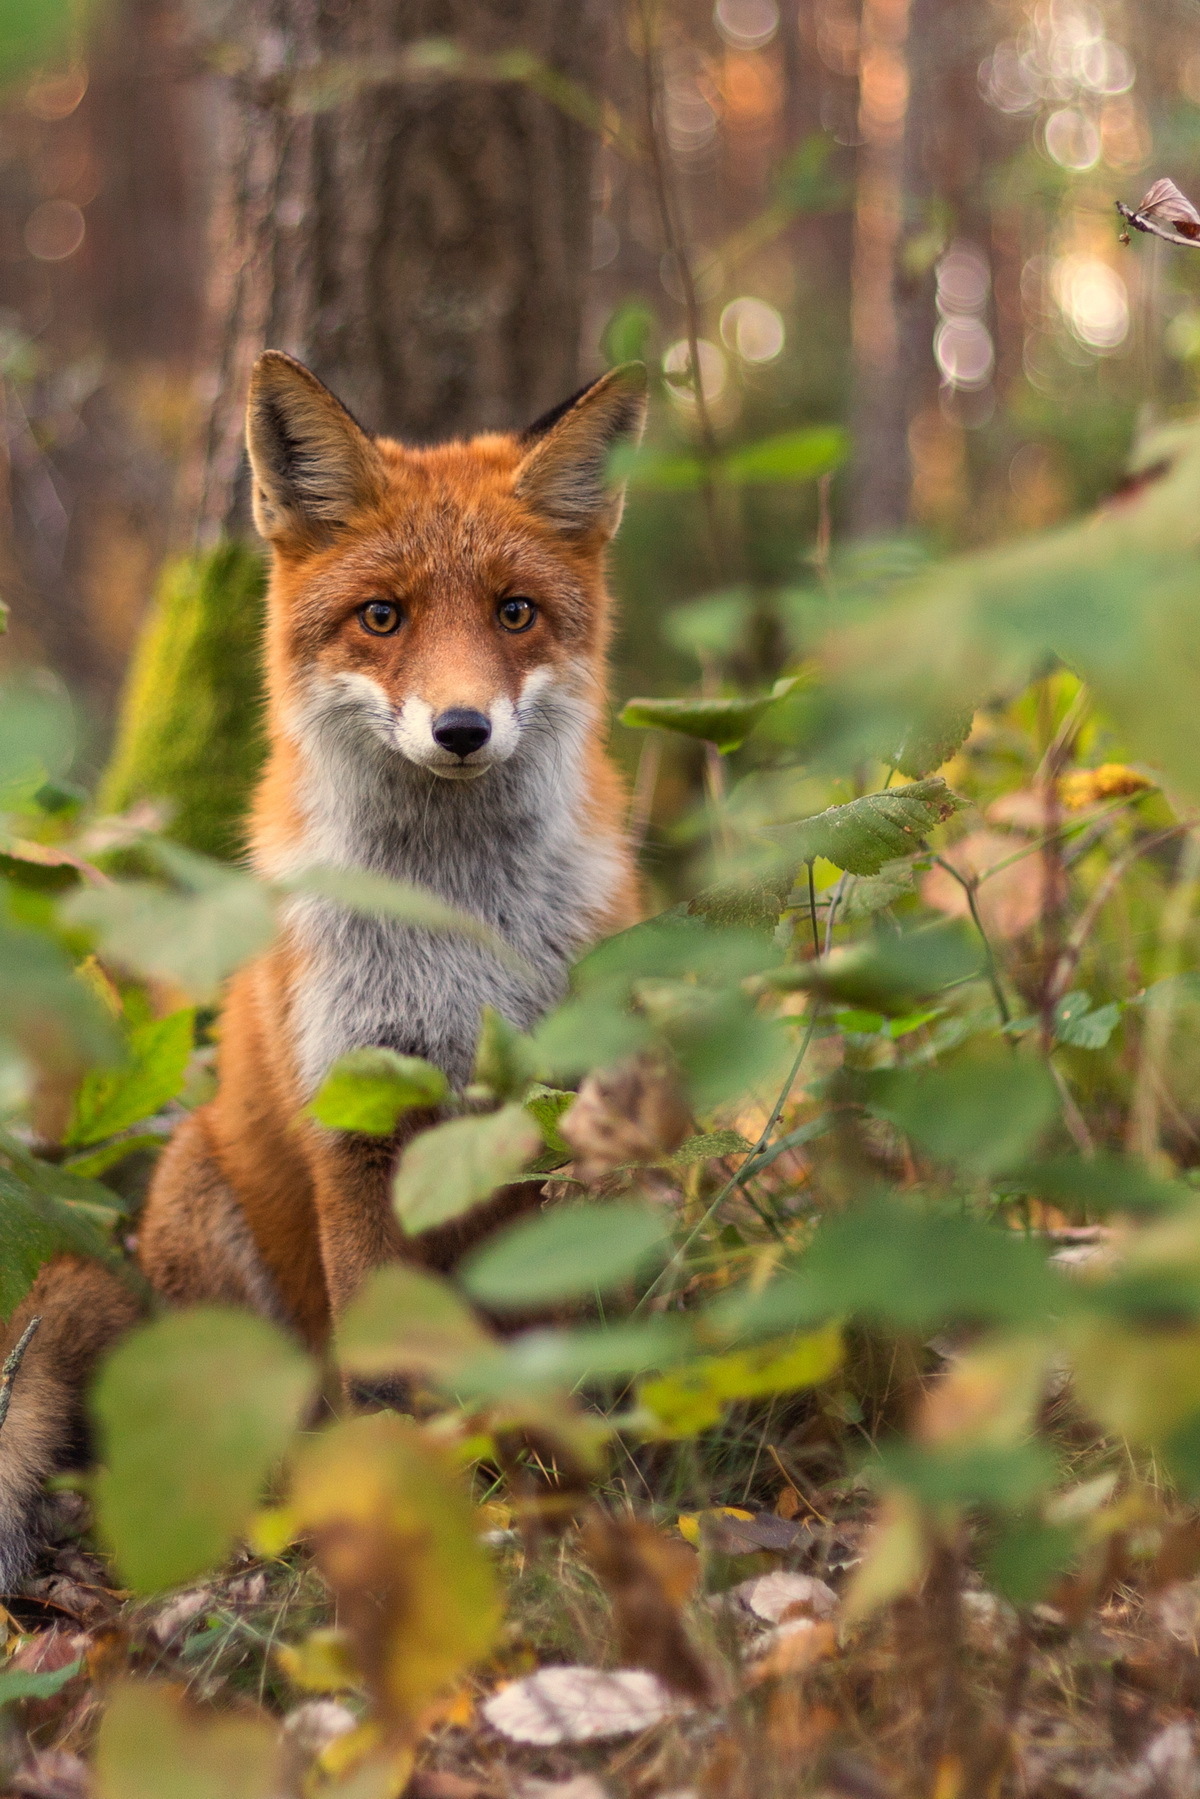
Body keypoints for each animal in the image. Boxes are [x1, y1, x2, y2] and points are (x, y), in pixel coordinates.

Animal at [0, 350, 647, 1590]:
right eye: (381, 616)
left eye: (516, 612)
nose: (460, 727)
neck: (454, 933)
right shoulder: (355, 1120)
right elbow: (388, 1366)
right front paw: (406, 1511)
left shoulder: (556, 1111)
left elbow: (558, 1328)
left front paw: (566, 1488)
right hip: (212, 1204)